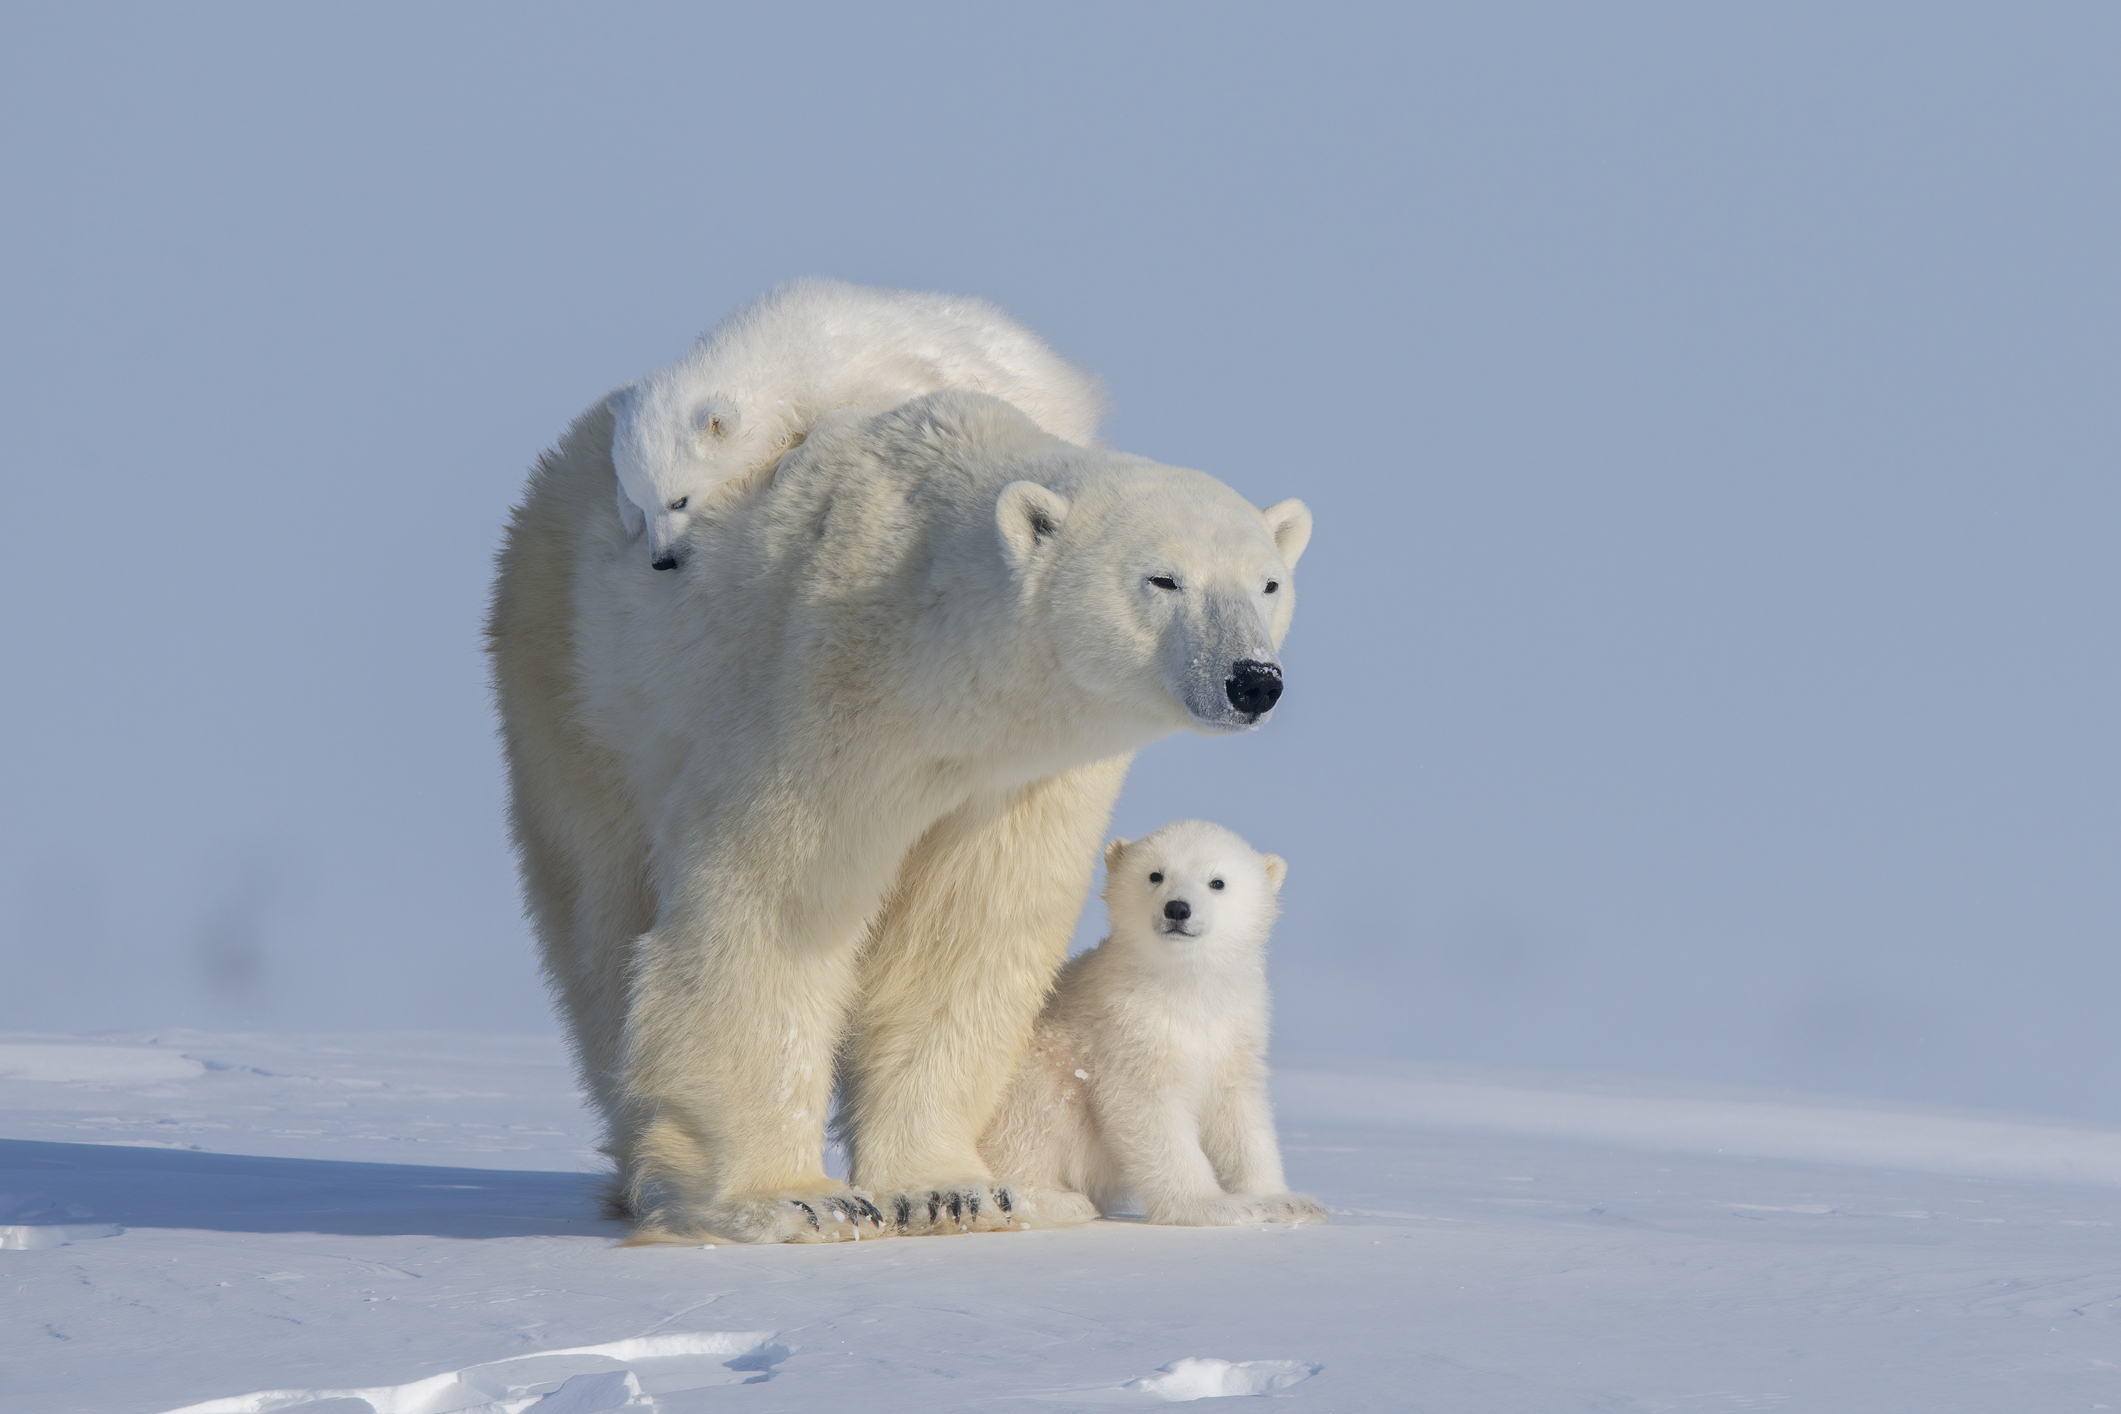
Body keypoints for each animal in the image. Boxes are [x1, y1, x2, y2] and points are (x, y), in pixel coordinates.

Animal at [492, 381, 1306, 1246]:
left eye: (1266, 583)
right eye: (1162, 579)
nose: (1252, 679)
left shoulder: (1017, 778)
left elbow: (962, 931)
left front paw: (952, 1191)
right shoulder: (819, 692)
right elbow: (774, 906)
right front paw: (795, 1200)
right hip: (579, 679)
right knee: (598, 911)